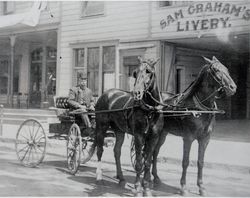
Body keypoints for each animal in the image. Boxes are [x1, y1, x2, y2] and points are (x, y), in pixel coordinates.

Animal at [94, 56, 163, 196]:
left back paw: (121, 178)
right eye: (135, 73)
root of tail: (106, 93)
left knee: (117, 151)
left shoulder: (153, 138)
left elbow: (148, 162)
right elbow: (139, 163)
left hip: (119, 130)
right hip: (101, 127)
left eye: (148, 71)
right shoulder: (138, 136)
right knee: (99, 150)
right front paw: (137, 187)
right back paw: (99, 177)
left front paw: (147, 189)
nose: (137, 93)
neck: (150, 110)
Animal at [150, 56, 236, 196]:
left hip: (162, 134)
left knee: (155, 152)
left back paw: (156, 178)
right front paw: (183, 187)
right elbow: (185, 162)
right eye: (216, 70)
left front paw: (201, 187)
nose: (233, 87)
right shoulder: (188, 138)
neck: (200, 109)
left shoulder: (205, 139)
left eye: (227, 69)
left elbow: (200, 162)